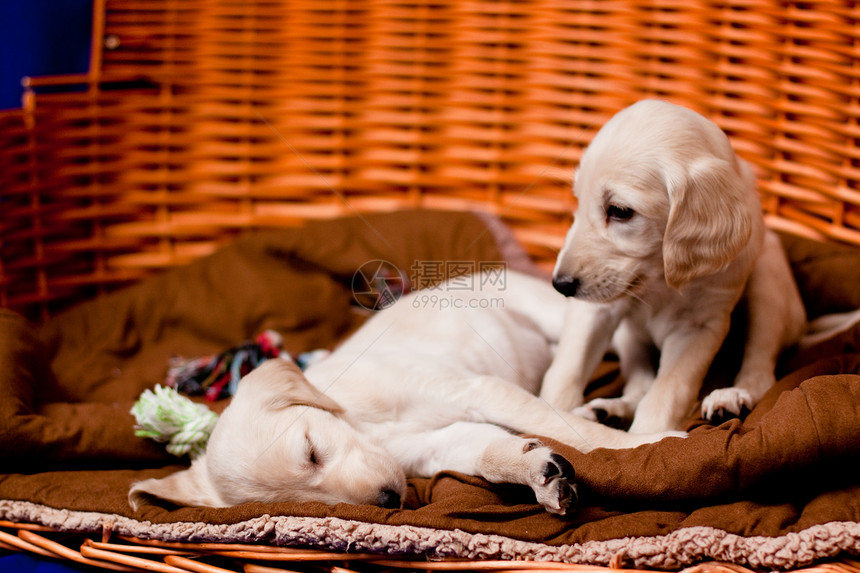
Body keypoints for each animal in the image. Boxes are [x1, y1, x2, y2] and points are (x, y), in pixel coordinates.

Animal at [131, 268, 680, 512]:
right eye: (307, 501)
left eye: (311, 451)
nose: (388, 499)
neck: (365, 425)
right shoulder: (439, 443)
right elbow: (488, 452)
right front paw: (533, 471)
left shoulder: (478, 390)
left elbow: (563, 426)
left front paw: (655, 445)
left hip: (558, 317)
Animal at [544, 100, 808, 434]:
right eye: (578, 202)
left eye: (620, 211)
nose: (560, 284)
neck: (659, 279)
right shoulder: (596, 309)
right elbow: (568, 368)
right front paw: (550, 413)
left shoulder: (697, 326)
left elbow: (667, 390)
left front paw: (645, 437)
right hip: (628, 338)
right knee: (639, 383)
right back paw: (610, 410)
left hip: (768, 284)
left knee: (760, 368)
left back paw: (730, 396)